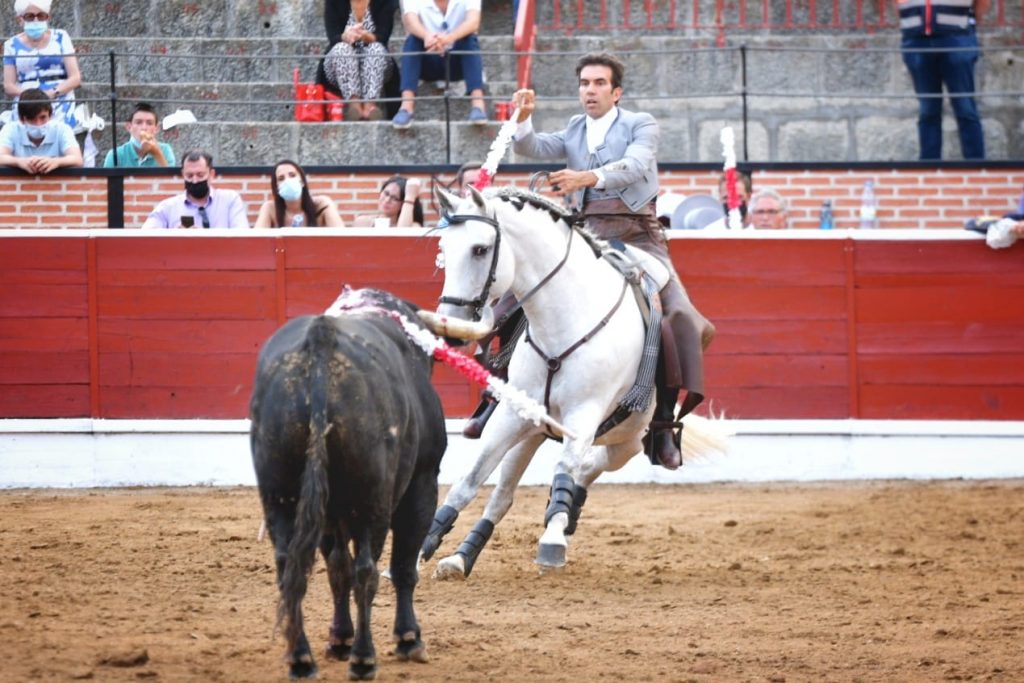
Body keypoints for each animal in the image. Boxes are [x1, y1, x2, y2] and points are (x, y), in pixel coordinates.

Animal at [249, 292, 446, 679]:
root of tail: (320, 340)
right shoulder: (422, 483)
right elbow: (402, 566)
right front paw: (408, 638)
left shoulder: (330, 512)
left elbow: (336, 566)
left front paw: (339, 638)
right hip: (372, 501)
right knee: (366, 570)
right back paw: (364, 658)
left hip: (280, 493)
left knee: (290, 566)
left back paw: (302, 659)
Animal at [419, 185, 724, 577]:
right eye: (444, 249)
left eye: (480, 249)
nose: (450, 327)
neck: (562, 322)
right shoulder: (514, 415)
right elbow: (470, 479)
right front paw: (424, 543)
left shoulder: (584, 415)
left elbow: (564, 470)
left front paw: (552, 539)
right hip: (534, 434)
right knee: (504, 495)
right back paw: (462, 557)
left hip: (629, 439)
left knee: (588, 467)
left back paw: (567, 514)